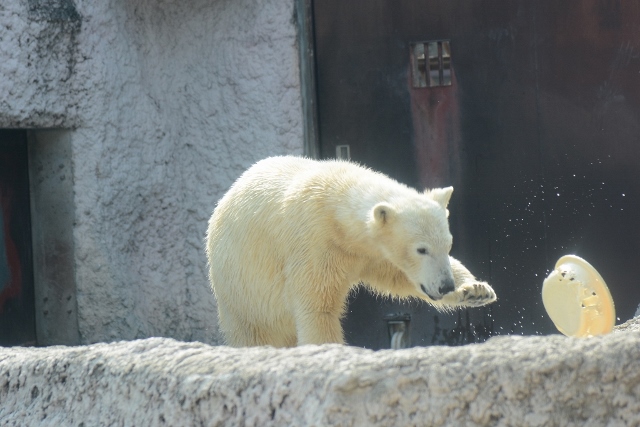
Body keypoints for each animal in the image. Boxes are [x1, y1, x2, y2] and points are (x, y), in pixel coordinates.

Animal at [208, 157, 498, 348]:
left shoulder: (370, 253)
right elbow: (317, 307)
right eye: (421, 249)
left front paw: (475, 290)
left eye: (448, 244)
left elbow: (400, 277)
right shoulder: (315, 243)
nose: (445, 285)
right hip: (242, 293)